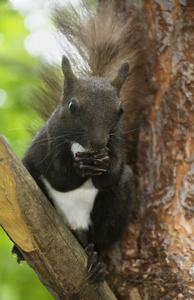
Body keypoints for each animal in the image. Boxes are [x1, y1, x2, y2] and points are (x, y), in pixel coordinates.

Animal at [12, 0, 152, 284]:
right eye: (72, 106)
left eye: (121, 110)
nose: (98, 144)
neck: (82, 146)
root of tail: (75, 225)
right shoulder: (50, 142)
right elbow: (59, 178)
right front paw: (79, 167)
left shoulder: (117, 142)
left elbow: (111, 176)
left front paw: (104, 164)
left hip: (113, 209)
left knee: (102, 236)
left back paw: (96, 261)